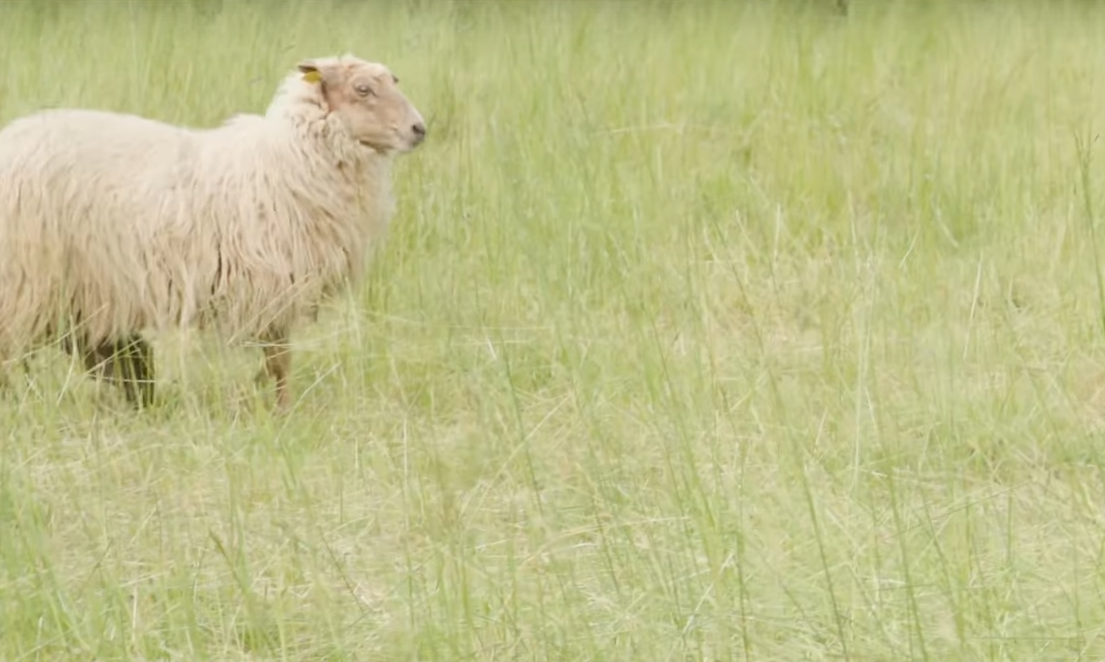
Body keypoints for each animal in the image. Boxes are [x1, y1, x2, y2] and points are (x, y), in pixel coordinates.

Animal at [0, 54, 426, 411]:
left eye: (393, 81)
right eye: (363, 89)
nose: (419, 128)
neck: (288, 156)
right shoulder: (272, 287)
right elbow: (280, 360)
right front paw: (282, 410)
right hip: (27, 282)